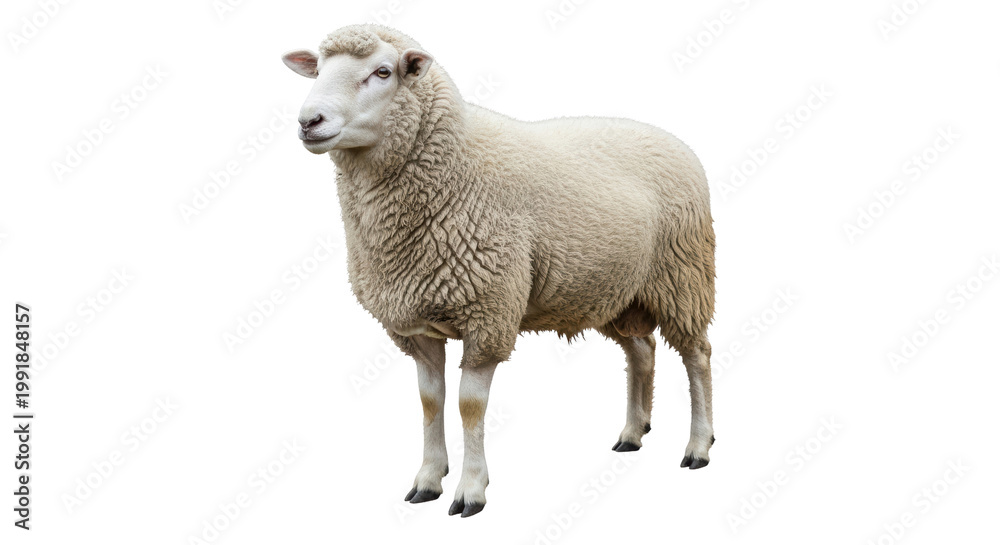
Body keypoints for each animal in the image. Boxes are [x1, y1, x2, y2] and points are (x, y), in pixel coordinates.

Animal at [282, 24, 717, 518]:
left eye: (383, 72)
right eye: (318, 68)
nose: (309, 121)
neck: (454, 165)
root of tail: (671, 139)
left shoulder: (487, 313)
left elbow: (470, 406)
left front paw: (471, 490)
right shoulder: (419, 327)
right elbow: (430, 402)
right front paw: (427, 480)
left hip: (683, 275)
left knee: (697, 355)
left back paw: (698, 446)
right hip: (615, 290)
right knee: (642, 351)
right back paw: (632, 432)